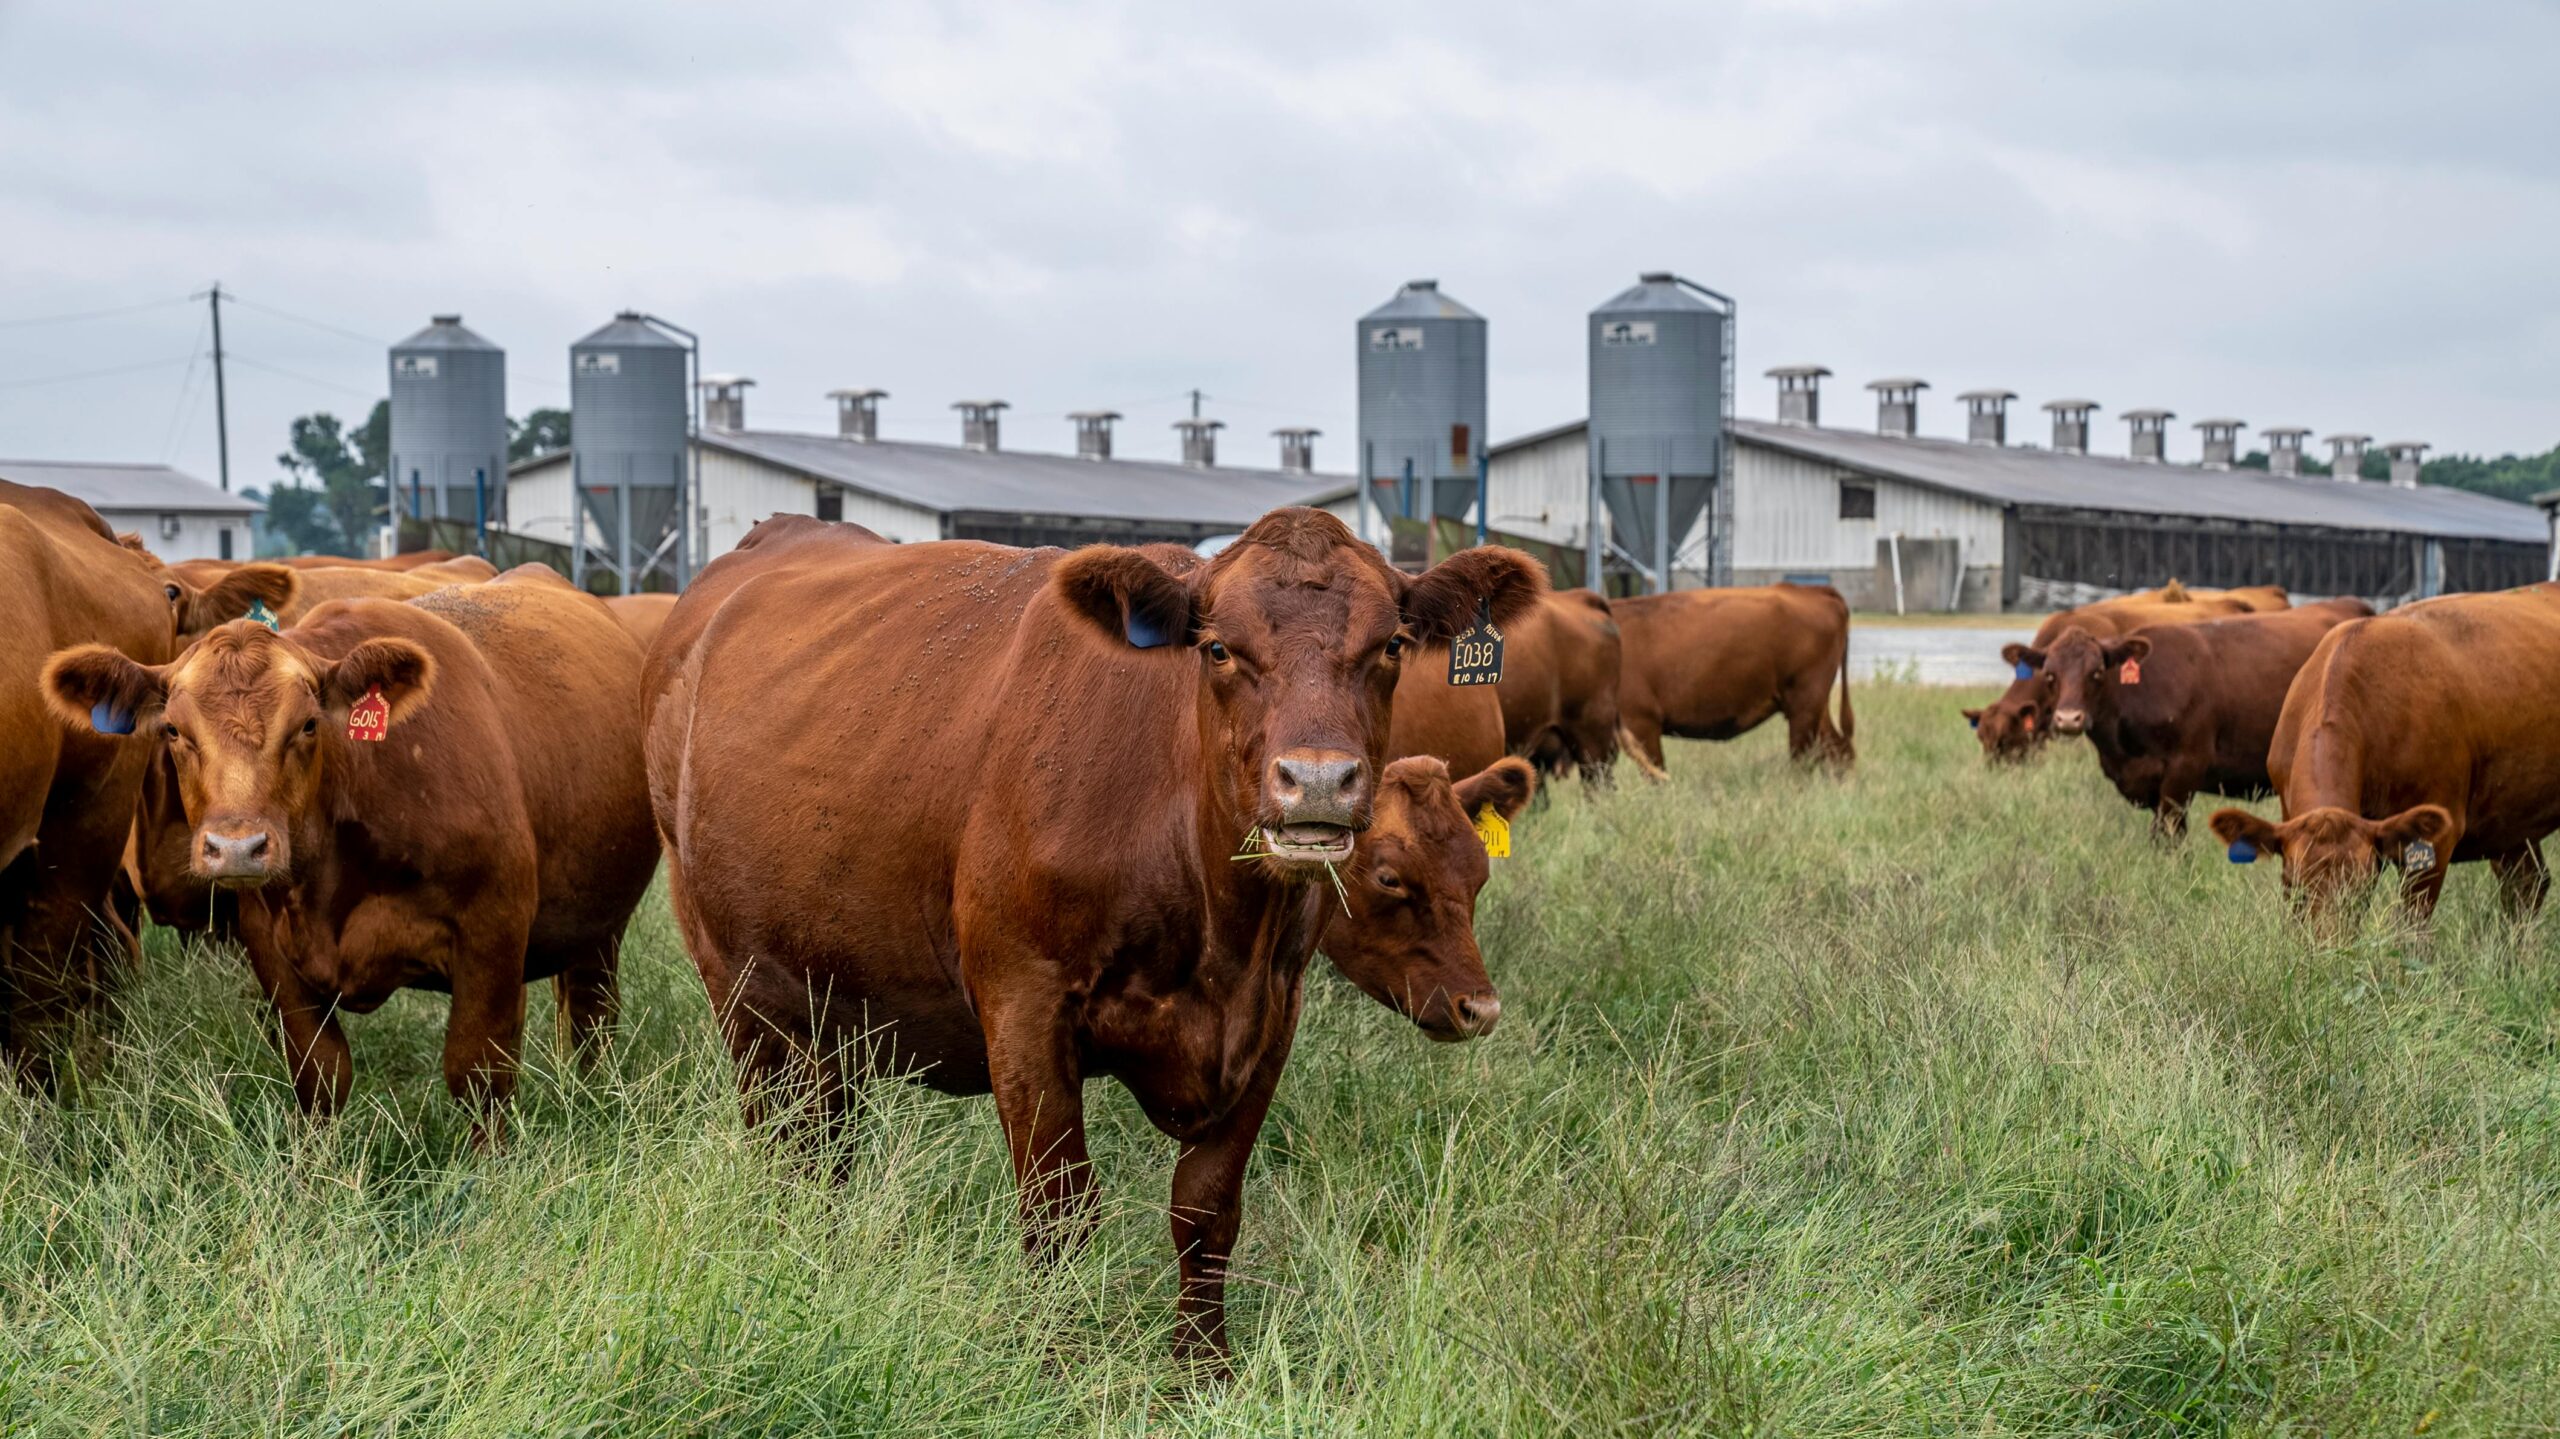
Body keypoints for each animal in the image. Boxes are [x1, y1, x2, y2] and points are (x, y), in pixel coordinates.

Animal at [43, 565, 660, 1126]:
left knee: (591, 1014)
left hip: (601, 922)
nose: (237, 847)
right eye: (173, 730)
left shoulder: (493, 932)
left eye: (308, 725)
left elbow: (478, 1073)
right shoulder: (269, 947)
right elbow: (320, 1075)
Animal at [650, 506, 1546, 1351]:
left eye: (1391, 644)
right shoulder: (1024, 1006)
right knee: (787, 1144)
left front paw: (1202, 1371)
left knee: (826, 1147)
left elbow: (1207, 1210)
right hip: (742, 988)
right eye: (1217, 649)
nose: (1318, 780)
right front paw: (1059, 1364)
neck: (1220, 934)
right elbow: (1059, 1211)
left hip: (834, 1000)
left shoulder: (1271, 1017)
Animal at [1607, 578, 1853, 773]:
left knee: (1804, 760)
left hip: (1804, 706)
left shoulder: (1642, 722)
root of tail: (1812, 591)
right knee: (1838, 750)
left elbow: (1654, 772)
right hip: (1815, 707)